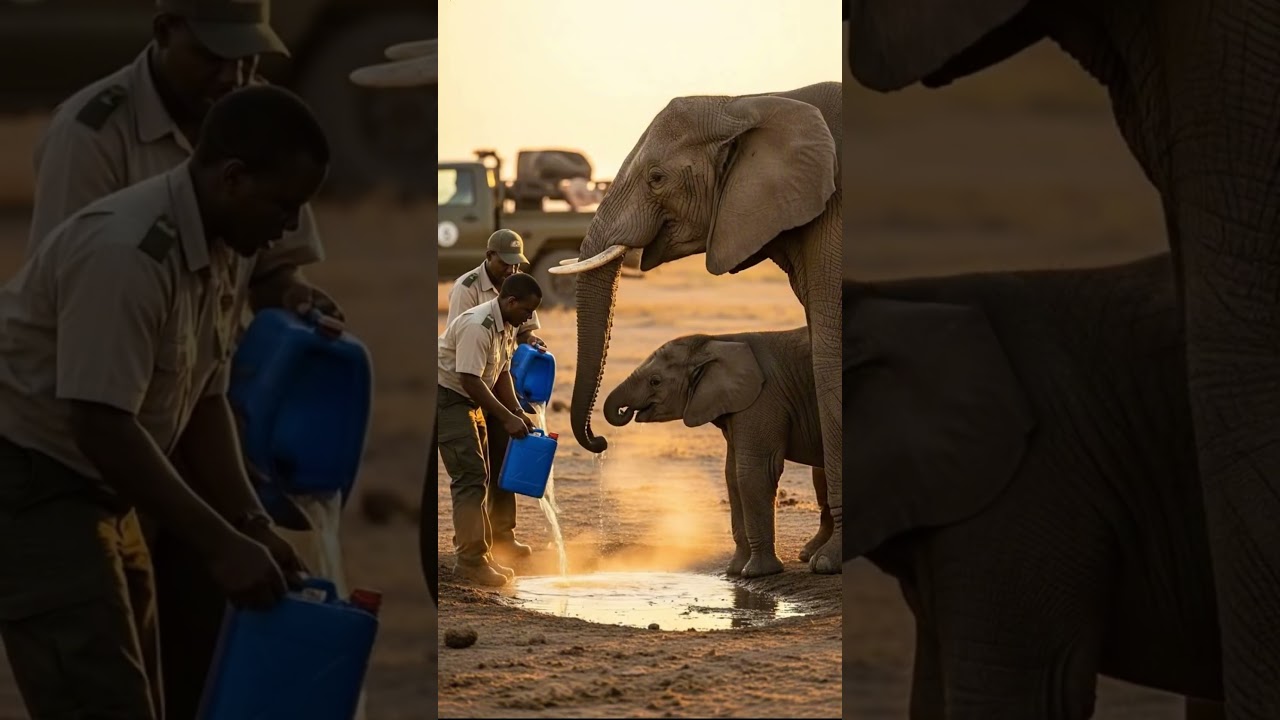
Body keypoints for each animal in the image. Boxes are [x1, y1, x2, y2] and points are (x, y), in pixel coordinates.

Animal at [602, 328, 832, 578]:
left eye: (655, 381)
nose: (624, 412)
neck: (716, 340)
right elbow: (732, 475)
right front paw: (734, 571)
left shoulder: (763, 399)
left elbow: (754, 472)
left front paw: (757, 573)